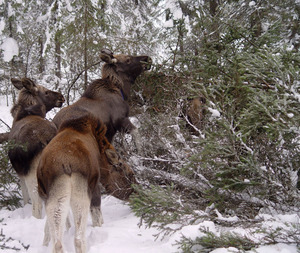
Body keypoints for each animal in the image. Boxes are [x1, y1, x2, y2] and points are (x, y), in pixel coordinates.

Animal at [7, 78, 64, 218]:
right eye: (46, 92)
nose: (61, 96)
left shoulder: (21, 172)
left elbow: (25, 197)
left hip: (33, 173)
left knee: (38, 204)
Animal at [37, 112, 137, 253]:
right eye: (130, 174)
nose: (138, 194)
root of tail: (64, 164)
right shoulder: (94, 185)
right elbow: (97, 217)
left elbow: (47, 230)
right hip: (80, 192)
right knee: (78, 238)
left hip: (55, 195)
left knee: (57, 241)